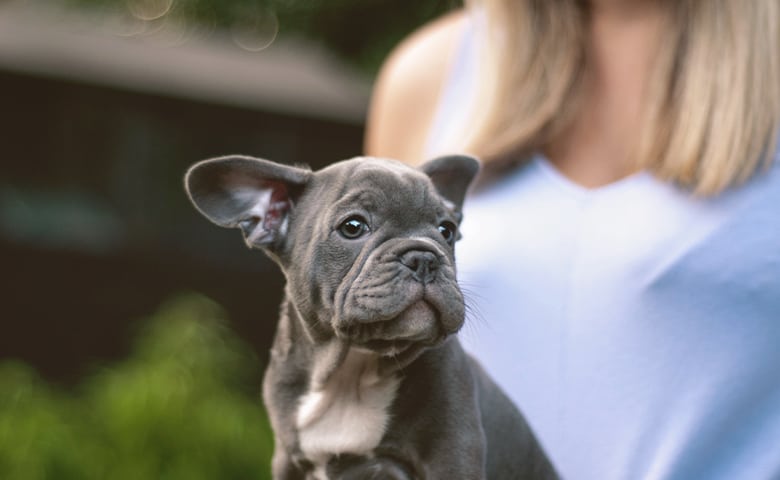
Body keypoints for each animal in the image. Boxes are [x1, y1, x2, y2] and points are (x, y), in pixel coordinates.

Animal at [183, 156, 556, 478]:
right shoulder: (288, 461)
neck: (351, 371)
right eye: (353, 226)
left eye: (447, 230)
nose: (424, 257)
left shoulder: (452, 456)